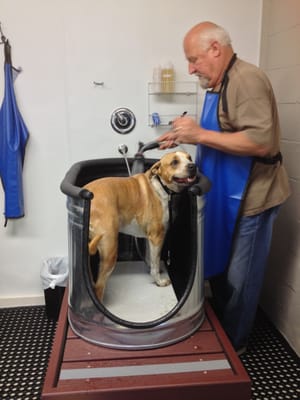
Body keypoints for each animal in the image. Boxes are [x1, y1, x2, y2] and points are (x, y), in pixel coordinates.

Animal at [84, 152, 197, 302]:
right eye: (174, 162)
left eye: (189, 158)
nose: (193, 166)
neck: (161, 187)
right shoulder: (157, 237)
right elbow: (155, 263)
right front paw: (159, 281)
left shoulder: (150, 239)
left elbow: (151, 260)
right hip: (110, 251)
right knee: (98, 288)